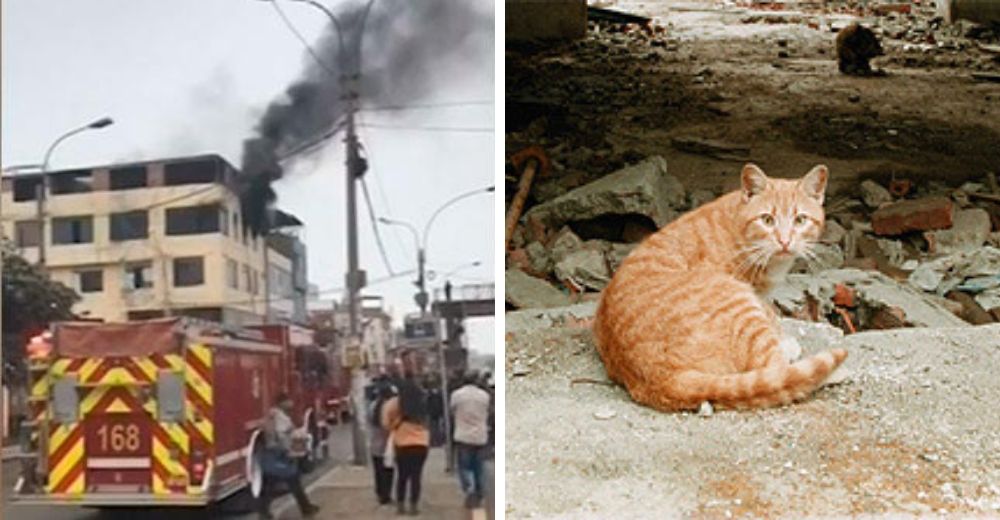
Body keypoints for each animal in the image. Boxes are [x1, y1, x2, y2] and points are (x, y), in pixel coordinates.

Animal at [596, 162, 848, 410]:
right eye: (767, 220)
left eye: (800, 220)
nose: (784, 241)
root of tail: (665, 379)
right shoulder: (753, 293)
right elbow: (770, 320)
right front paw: (784, 339)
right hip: (738, 301)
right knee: (780, 373)